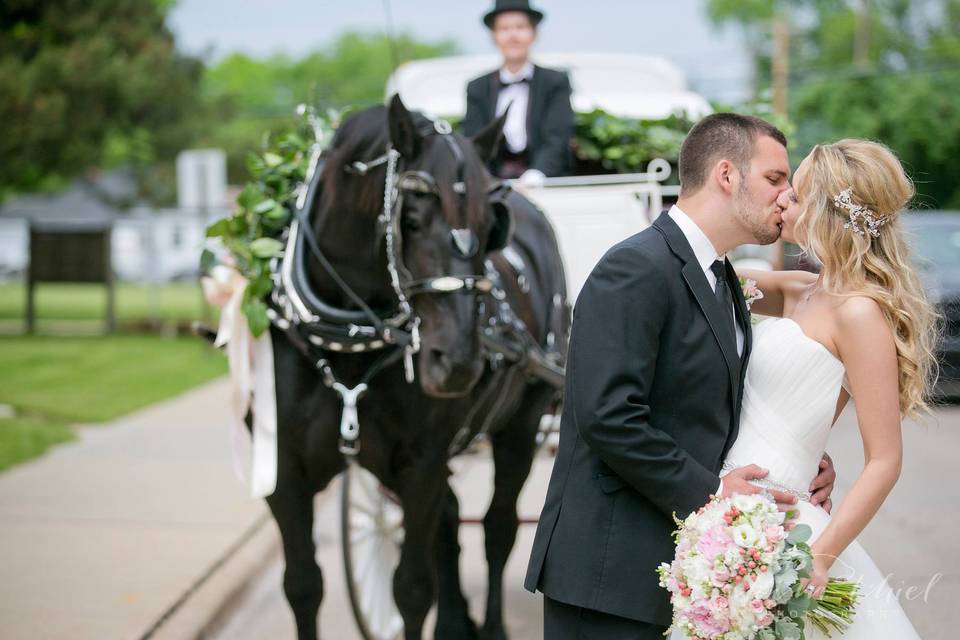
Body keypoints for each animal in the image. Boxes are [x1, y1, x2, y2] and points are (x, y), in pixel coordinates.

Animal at [258, 96, 568, 640]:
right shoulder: (283, 472)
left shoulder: (420, 465)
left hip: (521, 425)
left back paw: (489, 625)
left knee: (498, 529)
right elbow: (303, 585)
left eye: (490, 228)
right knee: (451, 521)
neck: (350, 340)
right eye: (414, 219)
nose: (459, 363)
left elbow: (412, 589)